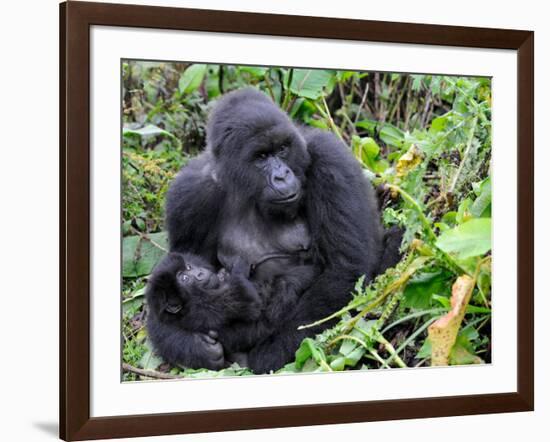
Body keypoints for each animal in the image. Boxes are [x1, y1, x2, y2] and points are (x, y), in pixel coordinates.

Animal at [163, 89, 388, 372]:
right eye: (261, 157)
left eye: (282, 150)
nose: (282, 176)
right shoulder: (189, 196)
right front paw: (194, 348)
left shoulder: (331, 160)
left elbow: (344, 271)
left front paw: (265, 355)